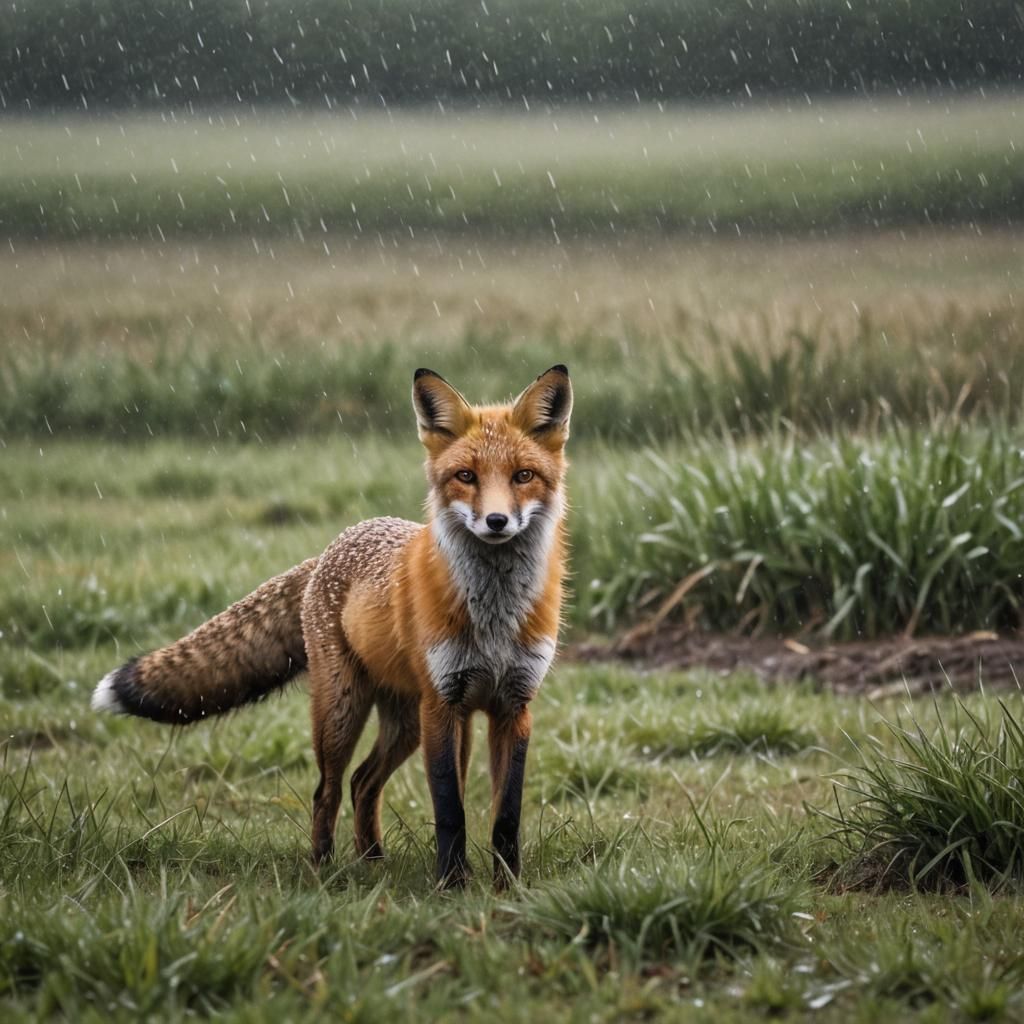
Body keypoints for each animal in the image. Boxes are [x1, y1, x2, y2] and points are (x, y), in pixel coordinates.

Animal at [92, 365, 572, 888]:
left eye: (523, 476)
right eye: (466, 476)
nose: (497, 521)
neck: (494, 617)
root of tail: (330, 547)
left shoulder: (513, 707)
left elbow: (505, 815)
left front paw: (508, 887)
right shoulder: (443, 703)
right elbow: (450, 811)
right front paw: (451, 886)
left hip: (410, 723)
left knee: (363, 782)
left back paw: (374, 862)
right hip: (347, 711)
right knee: (329, 789)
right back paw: (324, 869)